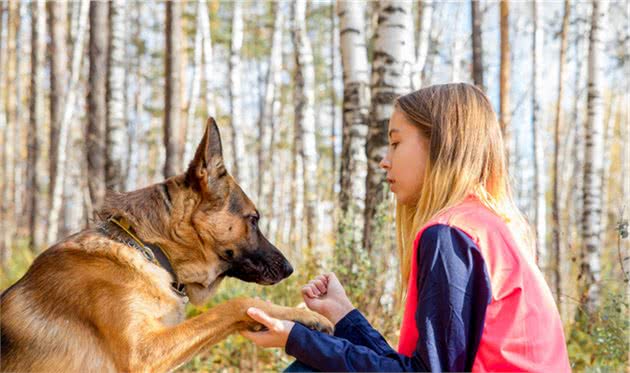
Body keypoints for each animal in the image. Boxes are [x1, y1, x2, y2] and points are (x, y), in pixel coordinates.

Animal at [0, 117, 336, 370]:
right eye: (253, 219)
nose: (290, 269)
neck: (149, 251)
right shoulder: (145, 353)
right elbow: (238, 304)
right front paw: (308, 315)